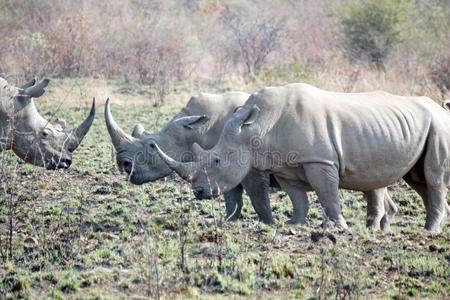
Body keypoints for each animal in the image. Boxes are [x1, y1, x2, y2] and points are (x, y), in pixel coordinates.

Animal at [156, 83, 450, 233]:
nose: (198, 192)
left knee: (432, 178)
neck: (257, 127)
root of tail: (441, 109)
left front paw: (337, 227)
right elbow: (297, 197)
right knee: (418, 180)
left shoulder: (319, 159)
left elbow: (327, 193)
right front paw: (293, 223)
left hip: (438, 125)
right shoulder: (284, 164)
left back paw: (429, 231)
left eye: (217, 160)